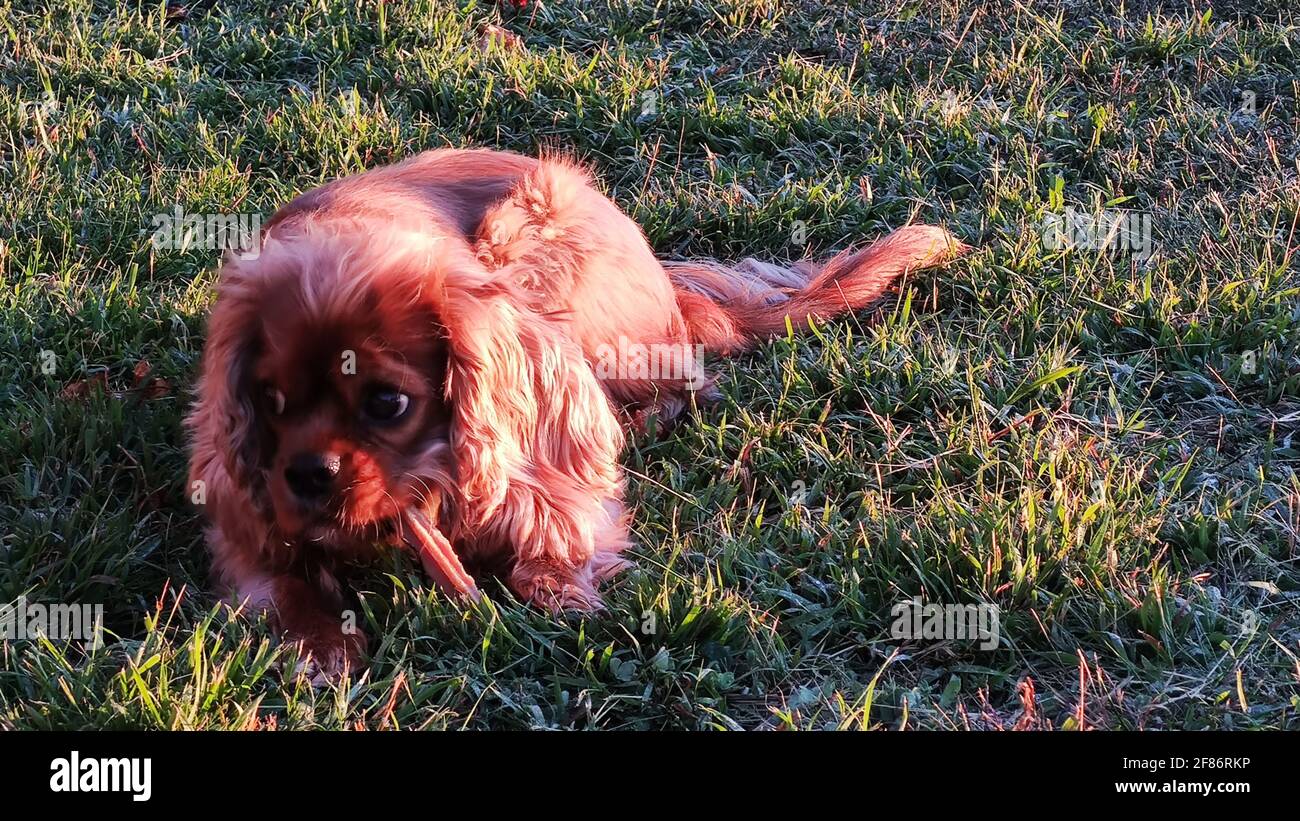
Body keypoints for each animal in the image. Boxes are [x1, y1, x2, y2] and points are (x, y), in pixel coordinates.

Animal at [188, 147, 967, 675]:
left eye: (387, 403)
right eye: (271, 402)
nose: (307, 476)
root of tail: (666, 278)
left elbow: (558, 522)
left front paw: (556, 586)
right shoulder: (243, 518)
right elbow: (277, 576)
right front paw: (320, 641)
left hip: (535, 234)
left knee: (684, 383)